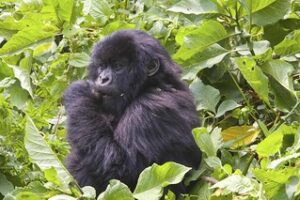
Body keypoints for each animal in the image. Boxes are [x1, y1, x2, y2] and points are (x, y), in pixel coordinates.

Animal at [64, 29, 203, 194]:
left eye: (118, 66)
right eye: (102, 66)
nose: (102, 79)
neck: (151, 85)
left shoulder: (148, 109)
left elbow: (119, 166)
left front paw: (78, 92)